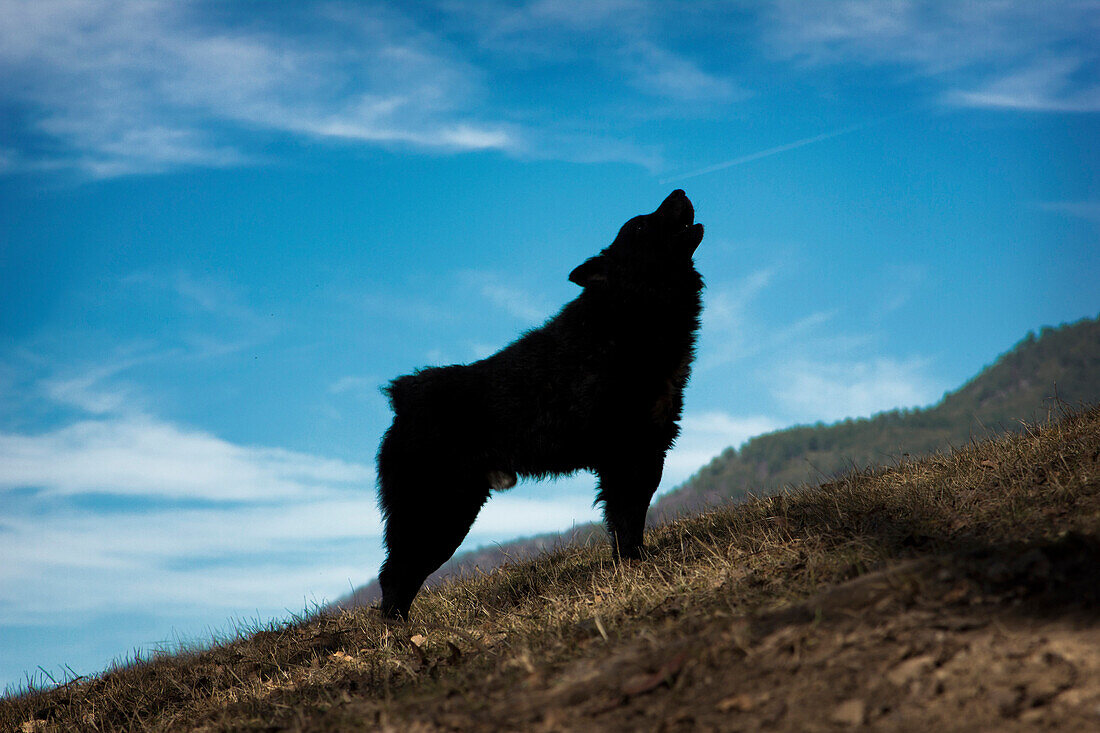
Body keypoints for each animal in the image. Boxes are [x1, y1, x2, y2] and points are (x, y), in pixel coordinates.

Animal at [378, 189, 704, 616]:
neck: (630, 311)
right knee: (394, 577)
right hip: (437, 513)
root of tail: (403, 398)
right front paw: (634, 567)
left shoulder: (649, 448)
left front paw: (636, 562)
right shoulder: (622, 454)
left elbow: (634, 516)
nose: (679, 192)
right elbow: (624, 517)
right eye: (639, 226)